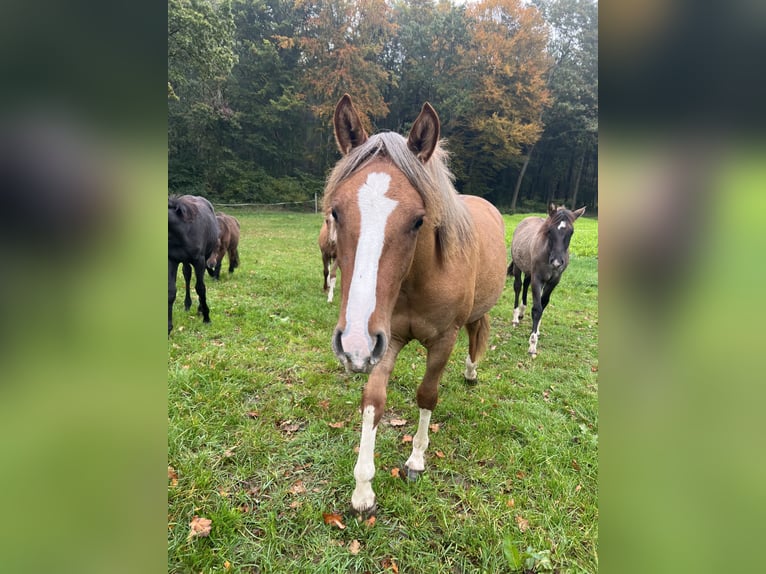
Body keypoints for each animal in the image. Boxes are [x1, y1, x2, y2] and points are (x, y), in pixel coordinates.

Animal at [166, 196, 218, 336]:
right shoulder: (171, 260)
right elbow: (171, 292)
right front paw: (168, 328)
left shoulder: (199, 260)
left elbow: (200, 288)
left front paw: (207, 317)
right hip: (184, 261)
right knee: (187, 274)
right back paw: (187, 304)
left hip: (205, 257)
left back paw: (200, 308)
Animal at [326, 97, 510, 516]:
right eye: (336, 212)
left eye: (417, 221)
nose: (352, 343)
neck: (417, 281)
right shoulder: (385, 340)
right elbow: (373, 401)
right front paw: (363, 489)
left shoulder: (443, 340)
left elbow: (427, 394)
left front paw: (416, 460)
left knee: (477, 332)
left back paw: (471, 372)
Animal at [510, 202, 588, 356]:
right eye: (550, 231)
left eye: (571, 232)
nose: (557, 262)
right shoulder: (538, 279)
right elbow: (537, 308)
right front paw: (532, 344)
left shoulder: (554, 281)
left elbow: (544, 303)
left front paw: (537, 330)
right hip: (518, 266)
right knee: (518, 286)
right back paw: (515, 317)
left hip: (529, 271)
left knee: (526, 285)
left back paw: (521, 312)